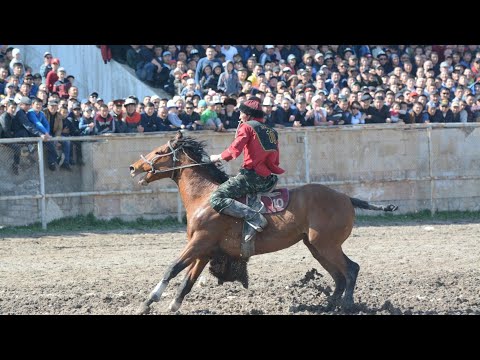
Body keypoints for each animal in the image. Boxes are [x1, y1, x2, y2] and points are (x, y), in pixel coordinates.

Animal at [128, 131, 398, 314]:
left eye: (159, 152)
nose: (133, 166)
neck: (205, 197)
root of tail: (345, 197)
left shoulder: (199, 243)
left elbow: (172, 268)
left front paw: (147, 302)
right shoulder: (204, 250)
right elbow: (187, 280)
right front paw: (173, 305)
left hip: (327, 245)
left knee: (351, 269)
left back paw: (346, 305)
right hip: (316, 247)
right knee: (339, 276)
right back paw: (329, 305)